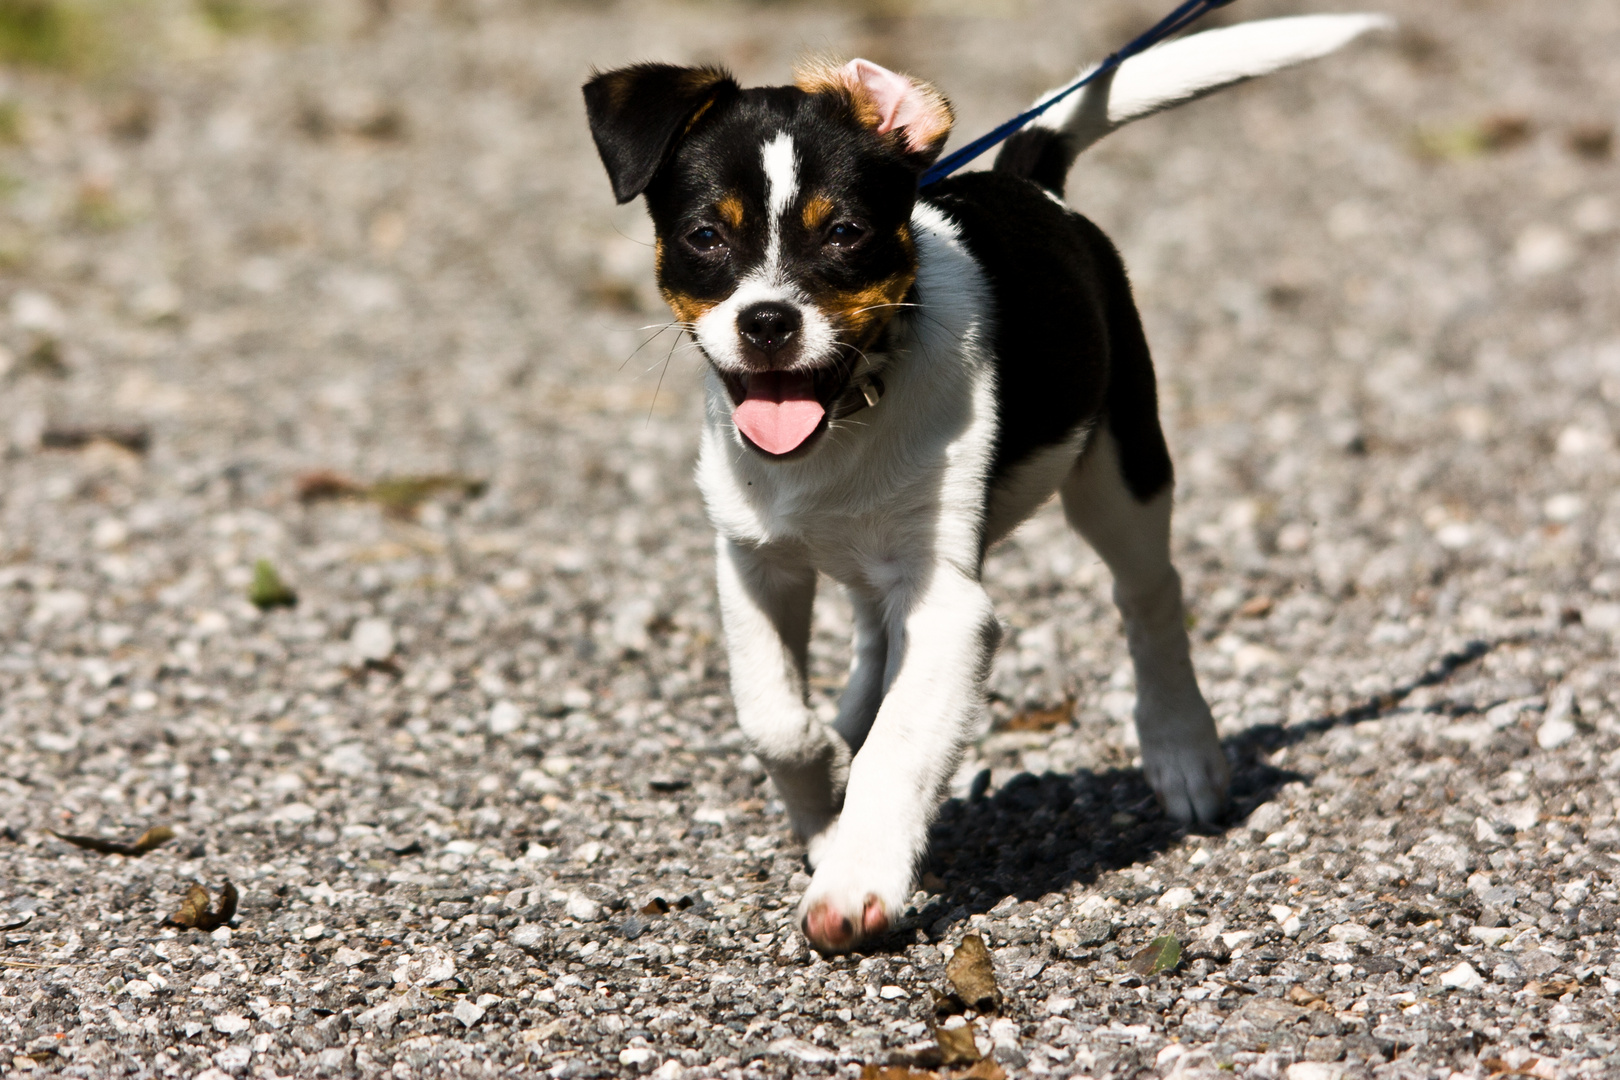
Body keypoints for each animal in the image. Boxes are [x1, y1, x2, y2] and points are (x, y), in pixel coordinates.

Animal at [589, 12, 1386, 952]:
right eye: (705, 237)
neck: (850, 412)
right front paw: (823, 797)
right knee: (872, 634)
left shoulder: (949, 607)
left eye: (845, 233)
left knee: (1149, 597)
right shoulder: (753, 558)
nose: (769, 321)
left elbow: (899, 744)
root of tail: (1032, 185)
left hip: (1119, 468)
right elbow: (775, 719)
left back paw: (1182, 749)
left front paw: (854, 877)